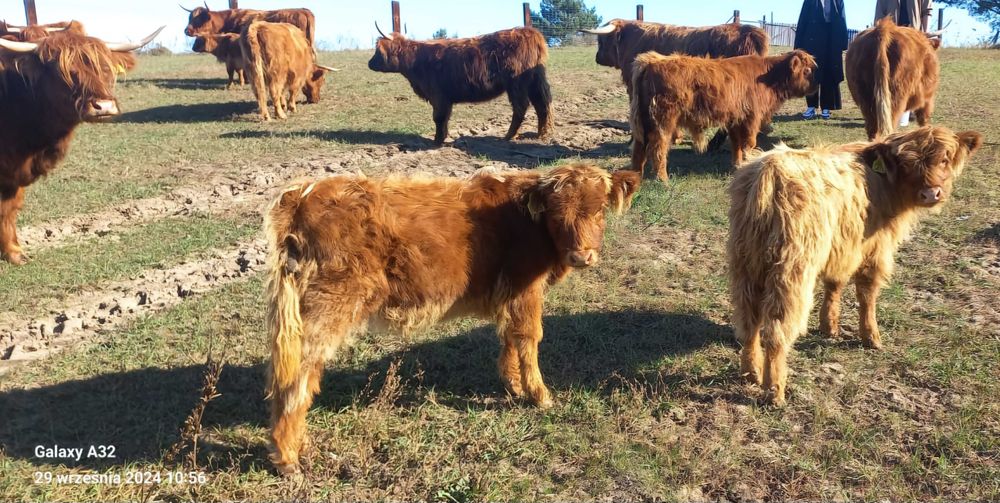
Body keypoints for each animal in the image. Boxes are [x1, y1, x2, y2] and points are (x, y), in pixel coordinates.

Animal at [0, 29, 161, 264]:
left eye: (105, 67)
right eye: (63, 71)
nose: (104, 106)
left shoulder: (14, 175)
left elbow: (9, 209)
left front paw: (14, 252)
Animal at [262, 163, 641, 474]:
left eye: (599, 210)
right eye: (557, 214)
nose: (581, 256)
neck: (526, 221)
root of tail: (303, 192)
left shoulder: (511, 293)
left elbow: (509, 337)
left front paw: (514, 384)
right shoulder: (526, 289)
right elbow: (529, 337)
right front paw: (539, 394)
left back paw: (300, 444)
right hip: (328, 307)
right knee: (296, 377)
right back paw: (288, 458)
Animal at [368, 26, 553, 146]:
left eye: (377, 51)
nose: (369, 63)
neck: (416, 61)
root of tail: (530, 32)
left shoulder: (438, 95)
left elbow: (438, 117)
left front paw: (437, 140)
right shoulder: (444, 98)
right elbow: (445, 118)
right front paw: (443, 136)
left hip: (516, 84)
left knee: (521, 107)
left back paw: (509, 136)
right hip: (535, 80)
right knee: (542, 104)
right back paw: (541, 134)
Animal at [629, 49, 817, 181]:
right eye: (807, 71)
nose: (817, 86)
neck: (768, 77)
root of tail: (652, 60)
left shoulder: (735, 119)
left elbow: (737, 144)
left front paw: (738, 165)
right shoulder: (752, 118)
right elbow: (749, 143)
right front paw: (747, 162)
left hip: (645, 122)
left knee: (639, 149)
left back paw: (636, 176)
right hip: (663, 122)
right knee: (658, 148)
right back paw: (662, 179)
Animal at [727, 126, 982, 405]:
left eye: (944, 159)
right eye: (906, 163)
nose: (930, 193)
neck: (884, 184)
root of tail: (769, 169)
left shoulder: (842, 248)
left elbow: (834, 285)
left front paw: (829, 327)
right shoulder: (875, 249)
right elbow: (867, 294)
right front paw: (871, 337)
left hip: (746, 265)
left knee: (749, 321)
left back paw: (751, 371)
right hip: (791, 270)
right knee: (776, 330)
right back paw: (775, 391)